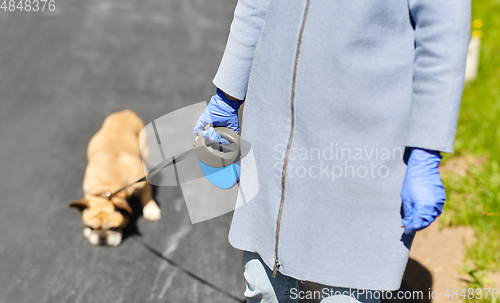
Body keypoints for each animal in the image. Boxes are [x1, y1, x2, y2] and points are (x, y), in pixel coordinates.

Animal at [69, 110, 160, 246]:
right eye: (91, 227)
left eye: (114, 228)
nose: (102, 237)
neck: (106, 186)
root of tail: (125, 113)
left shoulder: (140, 181)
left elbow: (146, 194)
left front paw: (150, 209)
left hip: (144, 149)